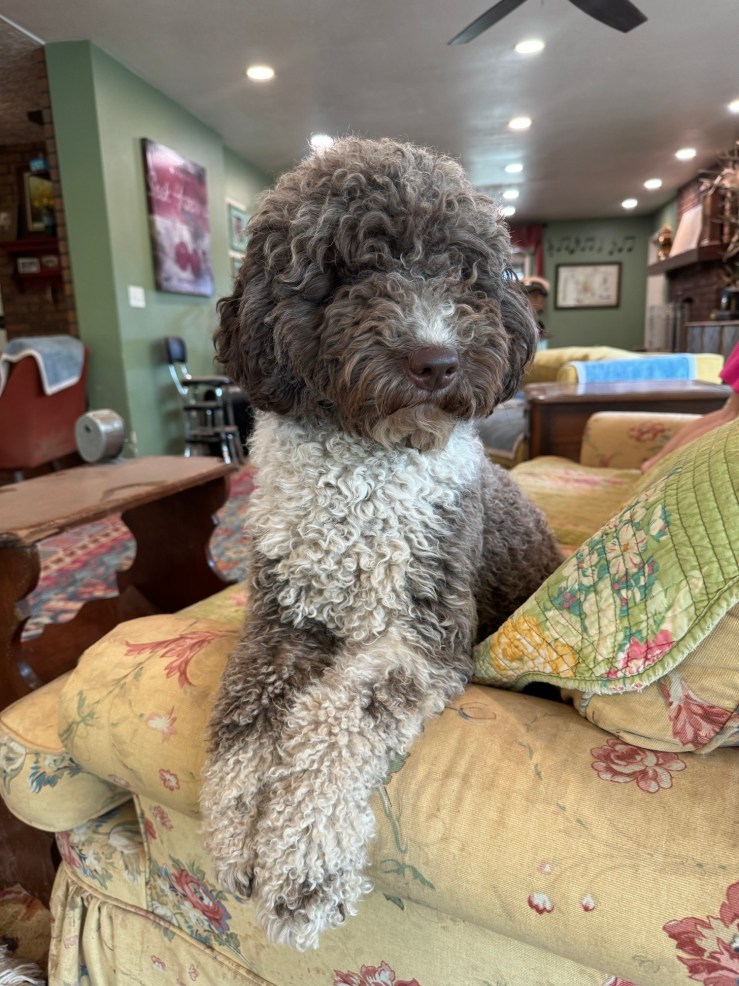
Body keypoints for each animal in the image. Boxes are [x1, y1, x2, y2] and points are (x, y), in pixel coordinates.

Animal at [200, 137, 563, 950]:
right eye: (344, 270)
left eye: (463, 268)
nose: (436, 361)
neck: (364, 468)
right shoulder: (279, 623)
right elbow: (244, 722)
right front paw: (236, 833)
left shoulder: (425, 638)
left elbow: (337, 717)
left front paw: (301, 870)